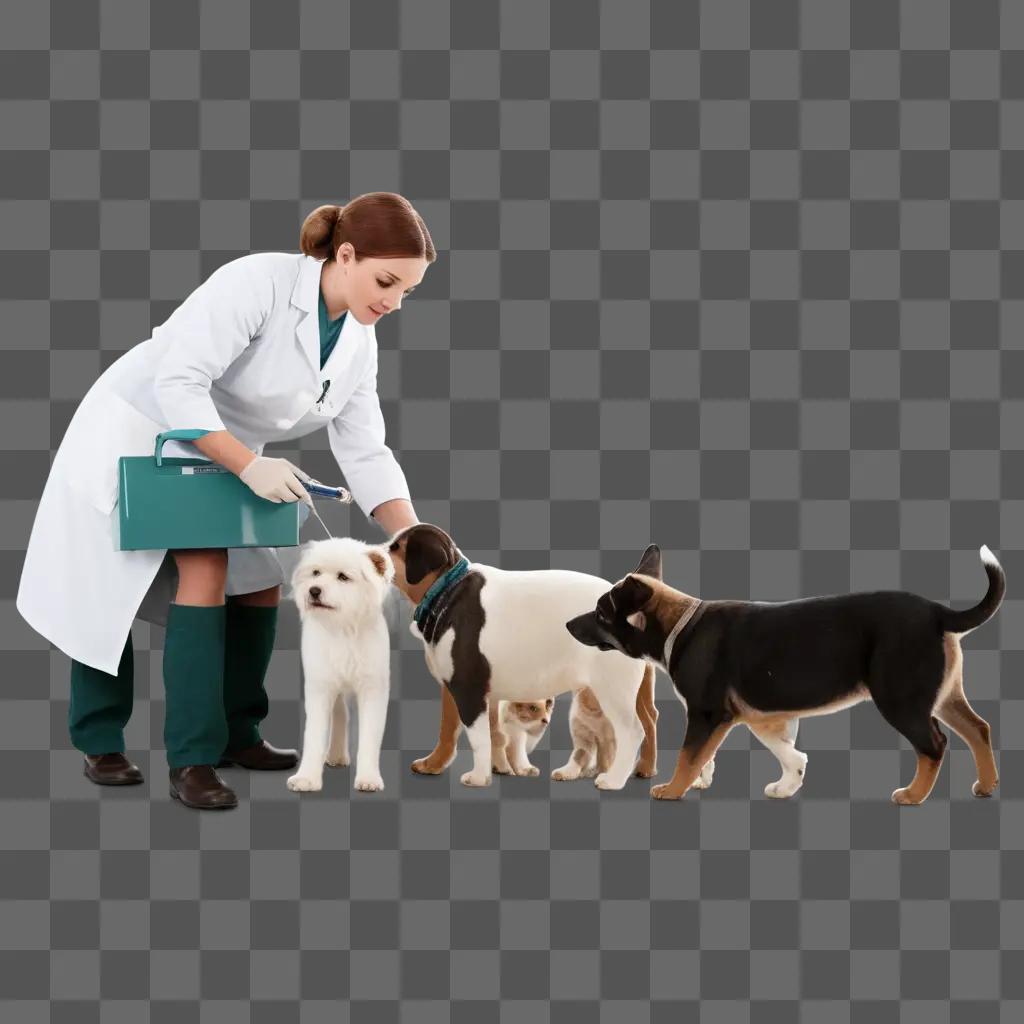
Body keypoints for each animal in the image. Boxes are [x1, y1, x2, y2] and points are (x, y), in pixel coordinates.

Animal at [286, 540, 393, 794]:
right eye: (316, 572)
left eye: (343, 577)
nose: (314, 590)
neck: (343, 629)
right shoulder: (320, 688)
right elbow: (314, 736)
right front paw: (306, 778)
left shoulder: (373, 689)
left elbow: (369, 738)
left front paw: (369, 778)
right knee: (340, 714)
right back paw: (335, 755)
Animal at [385, 524, 655, 786]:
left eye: (396, 547)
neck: (447, 591)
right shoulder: (455, 689)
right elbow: (450, 730)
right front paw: (434, 765)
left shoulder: (469, 689)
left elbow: (479, 738)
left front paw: (479, 777)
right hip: (634, 690)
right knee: (650, 720)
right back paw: (645, 769)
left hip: (614, 690)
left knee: (633, 731)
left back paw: (613, 780)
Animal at [565, 540, 1003, 802]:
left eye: (601, 614)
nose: (568, 625)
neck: (679, 626)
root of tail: (937, 611)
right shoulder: (759, 714)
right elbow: (783, 750)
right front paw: (788, 783)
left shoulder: (708, 713)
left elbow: (689, 755)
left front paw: (673, 789)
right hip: (942, 694)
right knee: (978, 729)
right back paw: (986, 785)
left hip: (901, 698)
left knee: (935, 744)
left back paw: (913, 795)